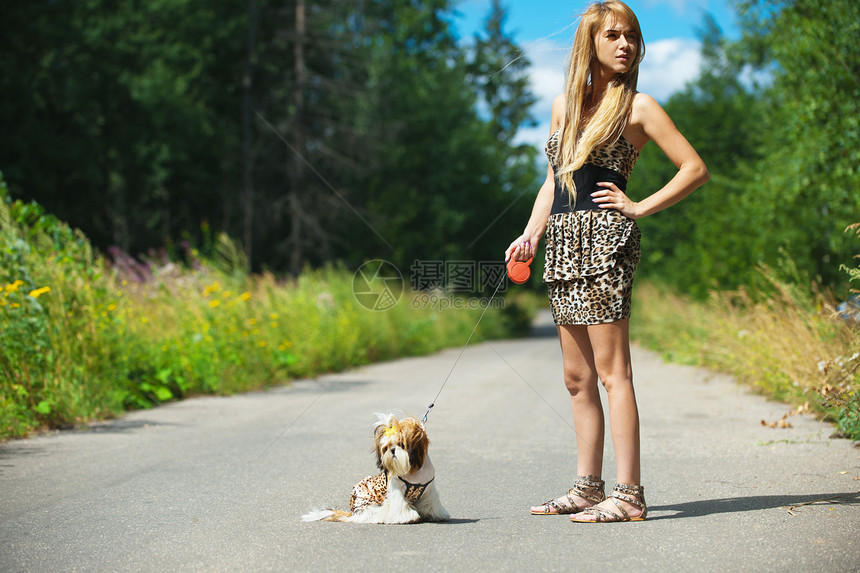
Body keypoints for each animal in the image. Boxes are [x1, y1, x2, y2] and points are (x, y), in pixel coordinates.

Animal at [302, 412, 450, 524]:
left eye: (401, 444)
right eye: (386, 448)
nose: (392, 451)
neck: (413, 472)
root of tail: (353, 514)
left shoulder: (429, 489)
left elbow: (432, 501)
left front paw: (436, 515)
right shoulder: (396, 490)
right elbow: (399, 503)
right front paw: (407, 517)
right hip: (369, 506)